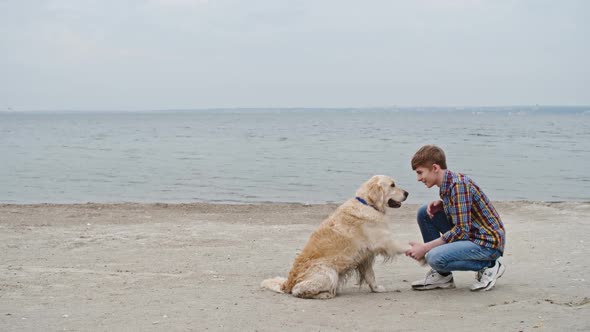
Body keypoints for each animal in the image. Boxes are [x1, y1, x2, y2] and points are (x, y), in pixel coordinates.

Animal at [262, 175, 410, 300]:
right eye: (392, 185)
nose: (407, 193)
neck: (367, 204)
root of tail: (287, 283)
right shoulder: (385, 241)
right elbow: (403, 245)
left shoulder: (365, 257)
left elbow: (370, 276)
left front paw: (376, 289)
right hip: (329, 271)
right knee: (298, 290)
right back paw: (325, 294)